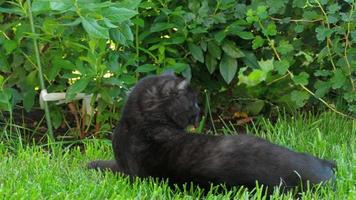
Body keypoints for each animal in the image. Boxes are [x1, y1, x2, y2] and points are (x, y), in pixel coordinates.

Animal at [87, 74, 336, 194]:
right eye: (193, 102)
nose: (200, 112)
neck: (141, 121)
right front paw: (90, 165)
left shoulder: (127, 171)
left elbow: (107, 165)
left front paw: (89, 165)